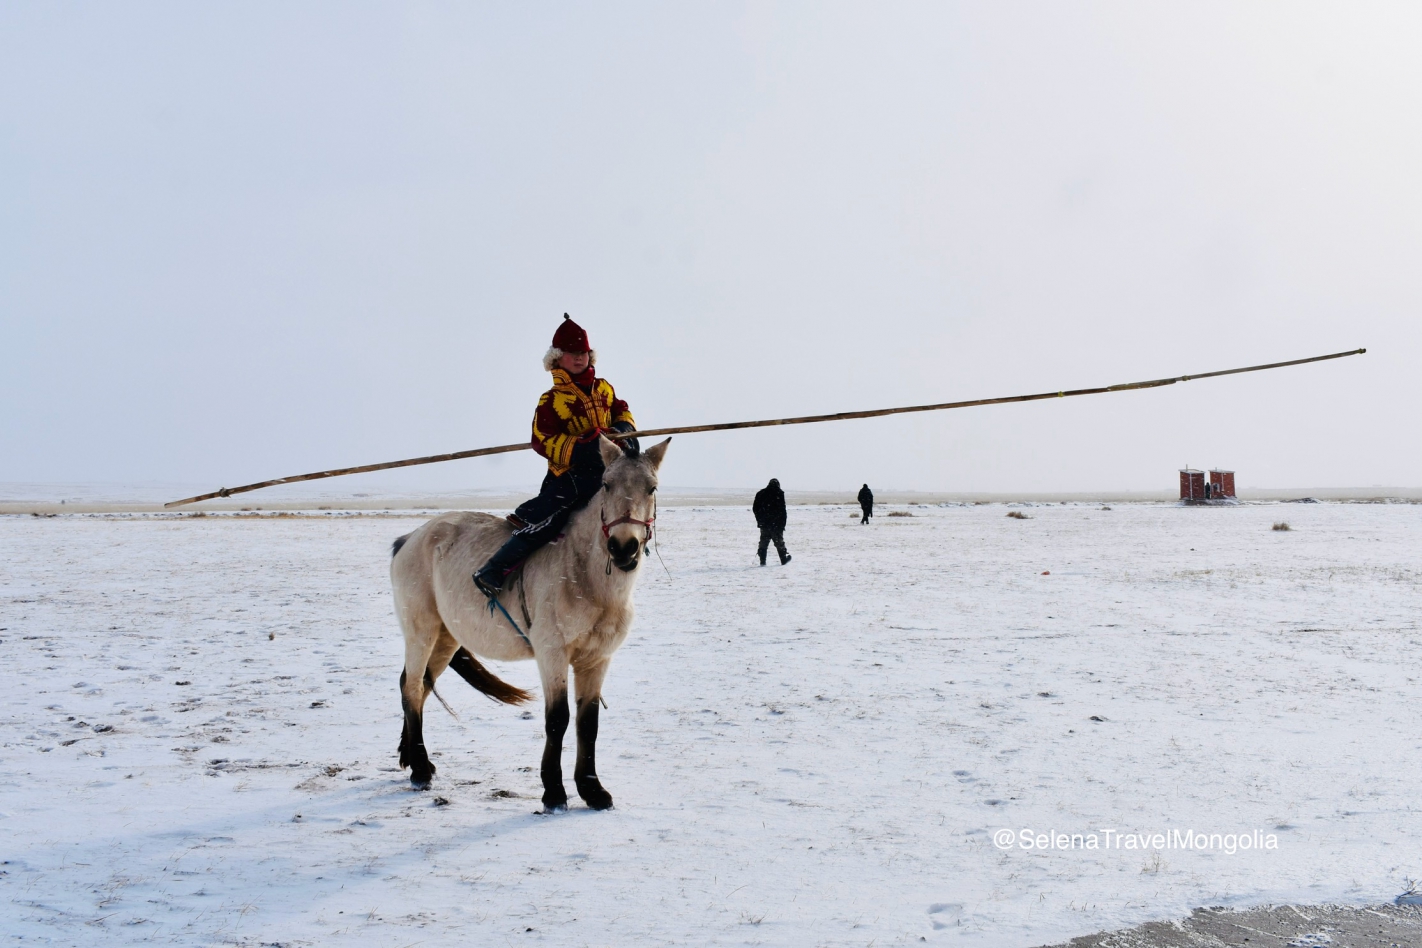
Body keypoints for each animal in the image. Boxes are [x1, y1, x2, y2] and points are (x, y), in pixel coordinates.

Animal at [386, 434, 668, 812]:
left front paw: (593, 791)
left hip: (447, 637)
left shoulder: (596, 659)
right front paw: (554, 793)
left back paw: (413, 759)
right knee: (413, 687)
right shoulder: (552, 653)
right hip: (421, 631)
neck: (586, 576)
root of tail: (410, 539)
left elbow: (588, 723)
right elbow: (558, 719)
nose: (624, 548)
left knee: (419, 686)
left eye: (652, 488)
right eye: (607, 484)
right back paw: (418, 770)